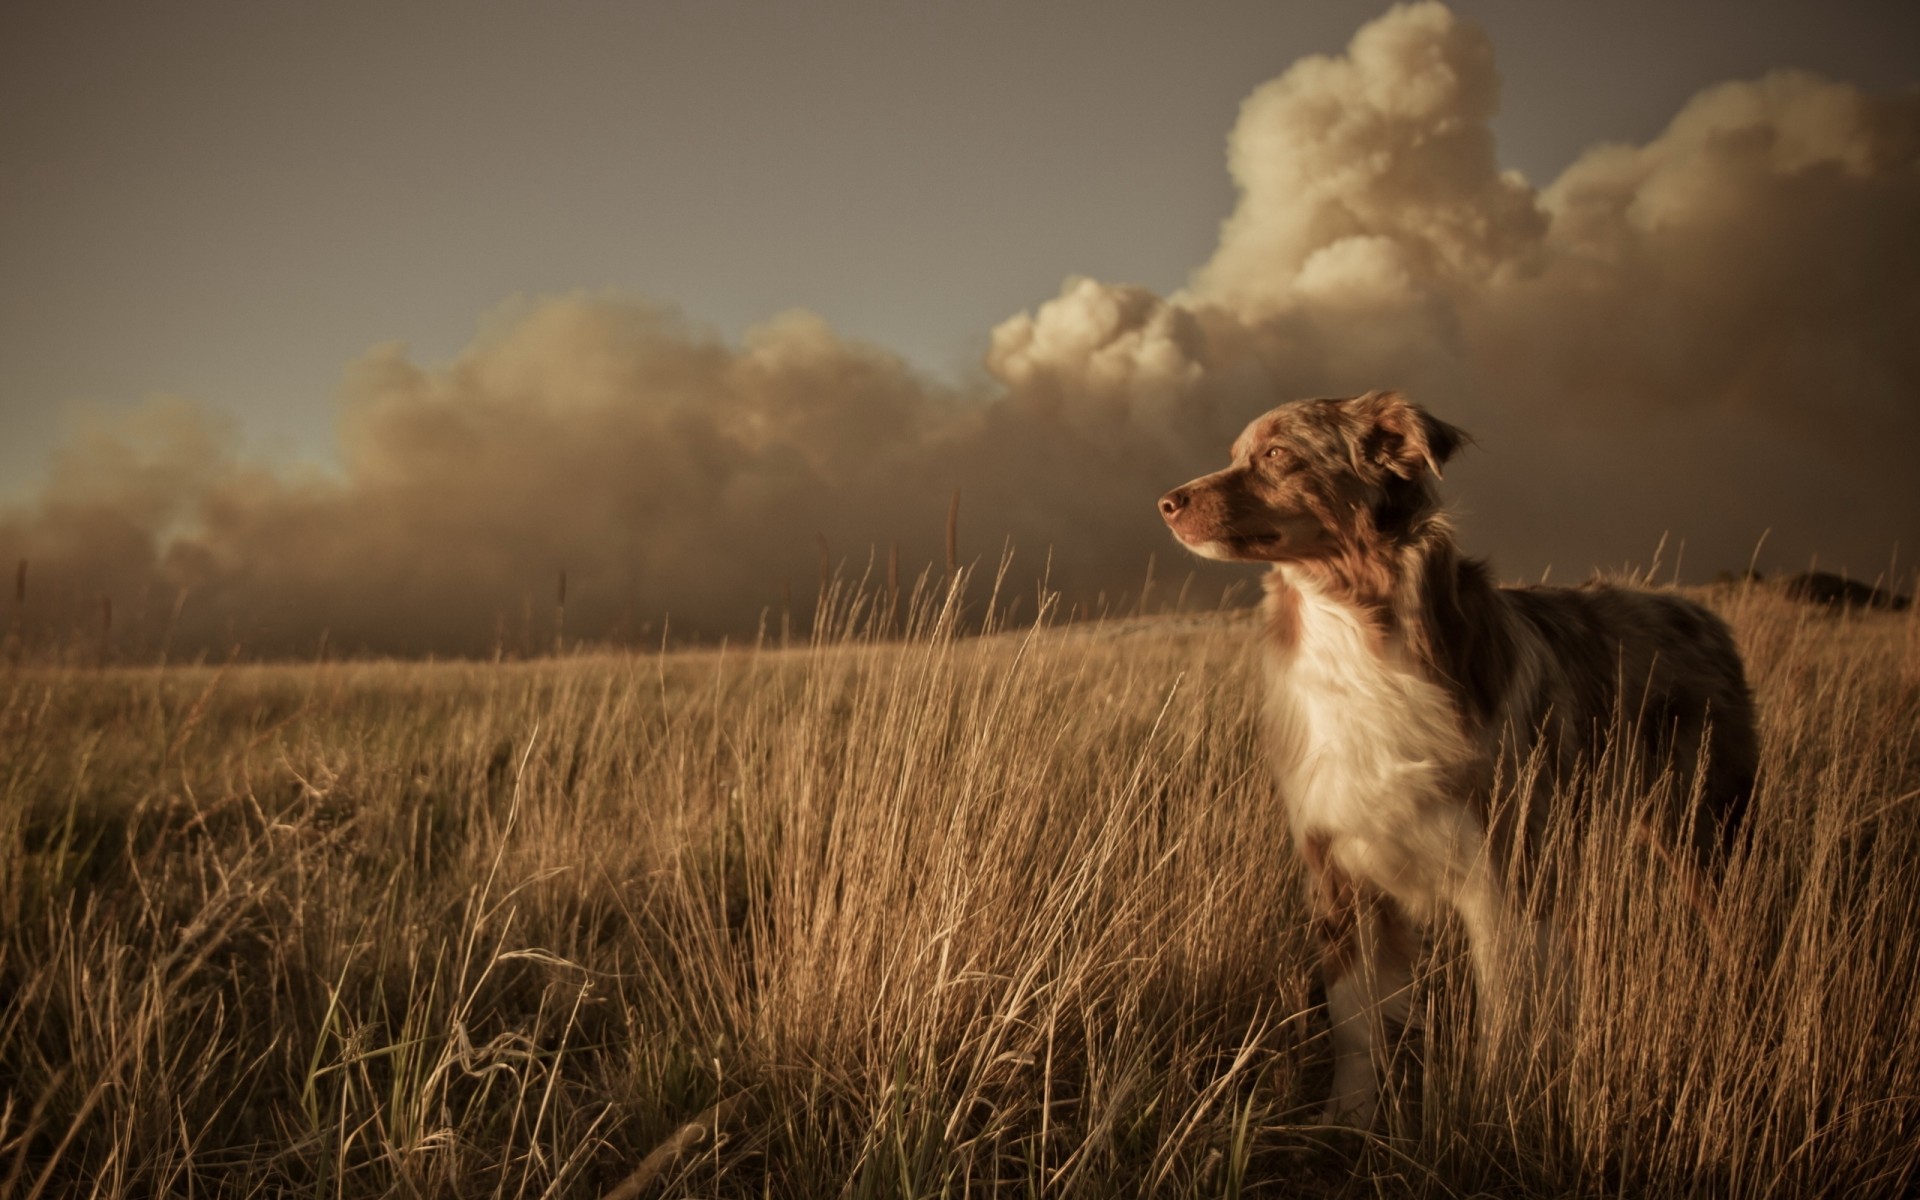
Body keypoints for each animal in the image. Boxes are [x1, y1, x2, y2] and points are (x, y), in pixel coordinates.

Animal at [1152, 385, 1758, 1121]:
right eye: (1238, 454)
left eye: (1276, 455)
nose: (1167, 502)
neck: (1354, 626)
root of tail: (1702, 614)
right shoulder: (1338, 872)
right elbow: (1356, 1025)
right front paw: (1346, 1119)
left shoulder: (1502, 873)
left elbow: (1507, 1014)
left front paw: (1494, 1107)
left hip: (1705, 833)